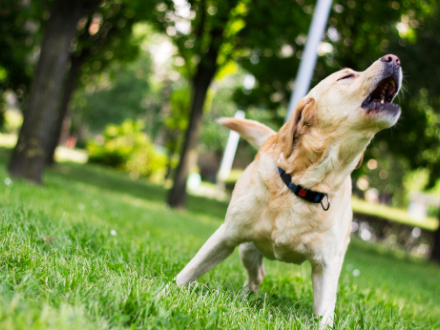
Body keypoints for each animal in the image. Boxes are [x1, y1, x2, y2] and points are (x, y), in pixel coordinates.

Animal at [175, 54, 402, 328]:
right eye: (347, 76)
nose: (394, 58)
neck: (304, 186)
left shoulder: (327, 266)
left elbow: (325, 313)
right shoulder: (226, 235)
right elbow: (189, 271)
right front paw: (167, 291)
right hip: (246, 249)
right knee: (256, 274)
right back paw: (245, 296)